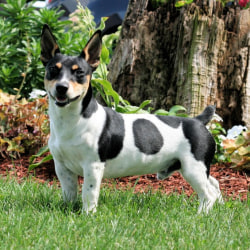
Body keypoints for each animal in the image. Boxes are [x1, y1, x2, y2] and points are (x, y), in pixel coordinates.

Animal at [40, 24, 223, 214]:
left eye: (80, 72)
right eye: (53, 70)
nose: (62, 87)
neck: (72, 120)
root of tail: (198, 120)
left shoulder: (93, 166)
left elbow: (89, 194)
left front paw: (88, 214)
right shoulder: (62, 168)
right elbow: (69, 193)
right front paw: (67, 209)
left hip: (193, 168)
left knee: (207, 194)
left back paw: (201, 214)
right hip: (195, 168)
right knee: (214, 184)